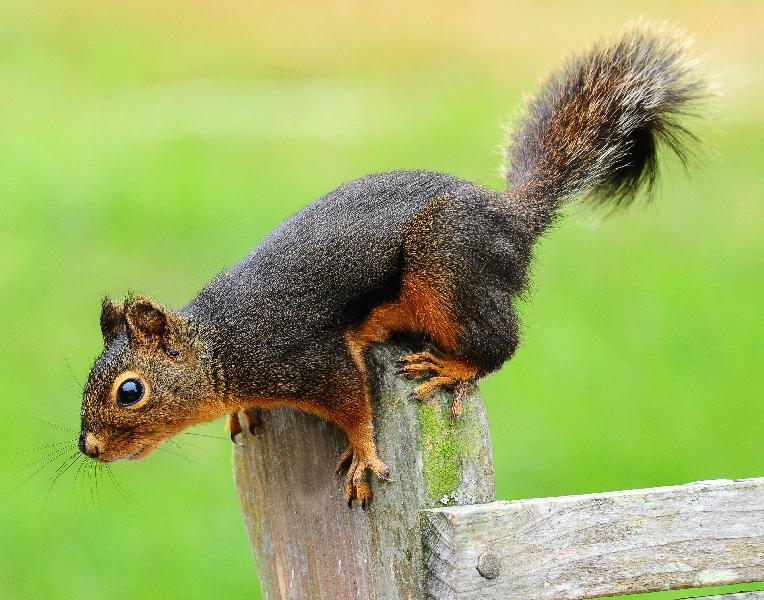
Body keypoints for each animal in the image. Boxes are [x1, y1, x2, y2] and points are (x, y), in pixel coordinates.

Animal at [78, 27, 706, 509]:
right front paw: (243, 412)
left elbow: (355, 405)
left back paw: (452, 367)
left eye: (130, 391)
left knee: (500, 342)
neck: (221, 343)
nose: (88, 447)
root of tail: (511, 218)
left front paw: (362, 454)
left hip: (448, 270)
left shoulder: (311, 358)